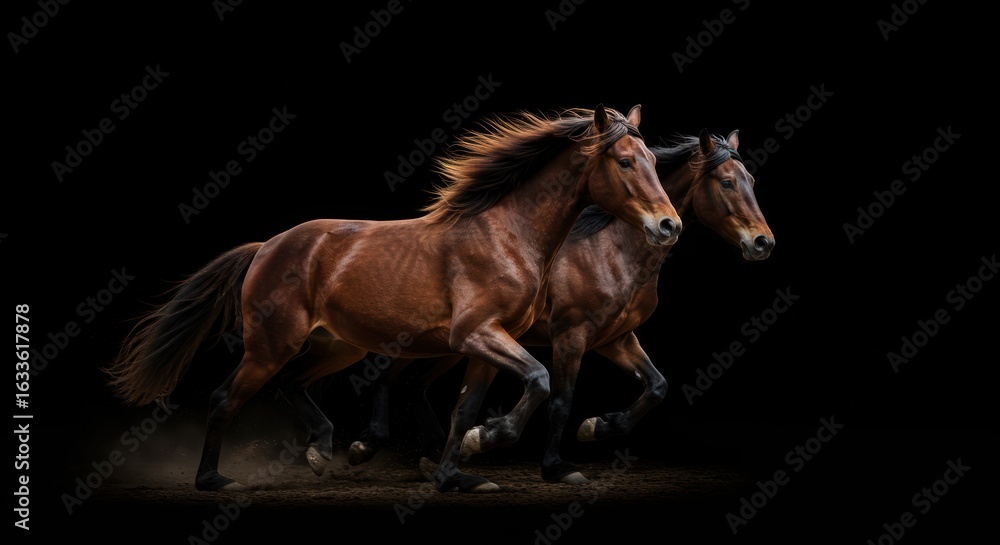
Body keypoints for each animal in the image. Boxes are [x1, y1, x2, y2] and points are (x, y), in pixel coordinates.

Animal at [104, 104, 682, 493]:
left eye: (654, 161)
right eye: (625, 162)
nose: (668, 225)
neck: (508, 234)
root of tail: (267, 245)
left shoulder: (490, 343)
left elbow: (466, 407)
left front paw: (456, 474)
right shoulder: (481, 334)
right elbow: (540, 383)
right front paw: (488, 441)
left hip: (338, 346)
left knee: (292, 385)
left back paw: (324, 450)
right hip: (272, 344)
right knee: (228, 397)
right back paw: (214, 480)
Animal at [343, 128, 774, 484]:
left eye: (752, 181)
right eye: (727, 183)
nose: (762, 242)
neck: (612, 250)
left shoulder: (615, 338)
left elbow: (656, 386)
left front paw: (599, 426)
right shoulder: (571, 336)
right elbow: (561, 402)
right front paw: (553, 465)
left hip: (451, 344)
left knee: (411, 383)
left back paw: (430, 455)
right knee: (394, 377)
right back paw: (374, 447)